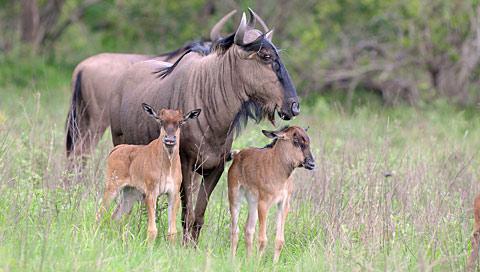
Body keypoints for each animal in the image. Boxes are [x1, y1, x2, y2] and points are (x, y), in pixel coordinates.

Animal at [95, 104, 201, 242]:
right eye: (161, 121)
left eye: (180, 122)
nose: (170, 140)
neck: (167, 165)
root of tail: (116, 150)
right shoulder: (151, 194)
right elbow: (152, 230)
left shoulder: (173, 194)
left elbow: (172, 232)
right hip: (112, 188)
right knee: (99, 214)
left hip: (130, 193)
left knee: (115, 216)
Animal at [228, 126, 316, 262]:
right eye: (296, 141)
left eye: (308, 141)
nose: (311, 164)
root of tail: (237, 155)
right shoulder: (264, 204)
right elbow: (263, 239)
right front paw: (257, 263)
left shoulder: (284, 204)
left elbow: (279, 240)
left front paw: (273, 264)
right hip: (235, 196)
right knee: (234, 230)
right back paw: (232, 260)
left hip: (252, 202)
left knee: (248, 229)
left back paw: (248, 261)